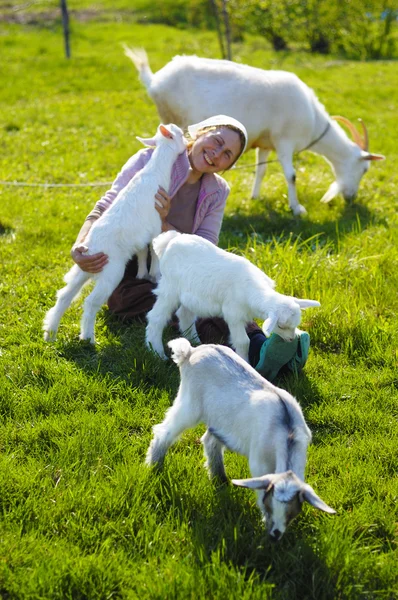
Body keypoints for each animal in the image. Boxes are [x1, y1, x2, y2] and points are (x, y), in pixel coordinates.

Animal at [125, 47, 386, 216]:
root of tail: (155, 81)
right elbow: (291, 175)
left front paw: (255, 197)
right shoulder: (284, 141)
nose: (351, 199)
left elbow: (261, 170)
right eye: (364, 169)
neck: (313, 120)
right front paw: (297, 209)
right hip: (174, 117)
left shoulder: (266, 143)